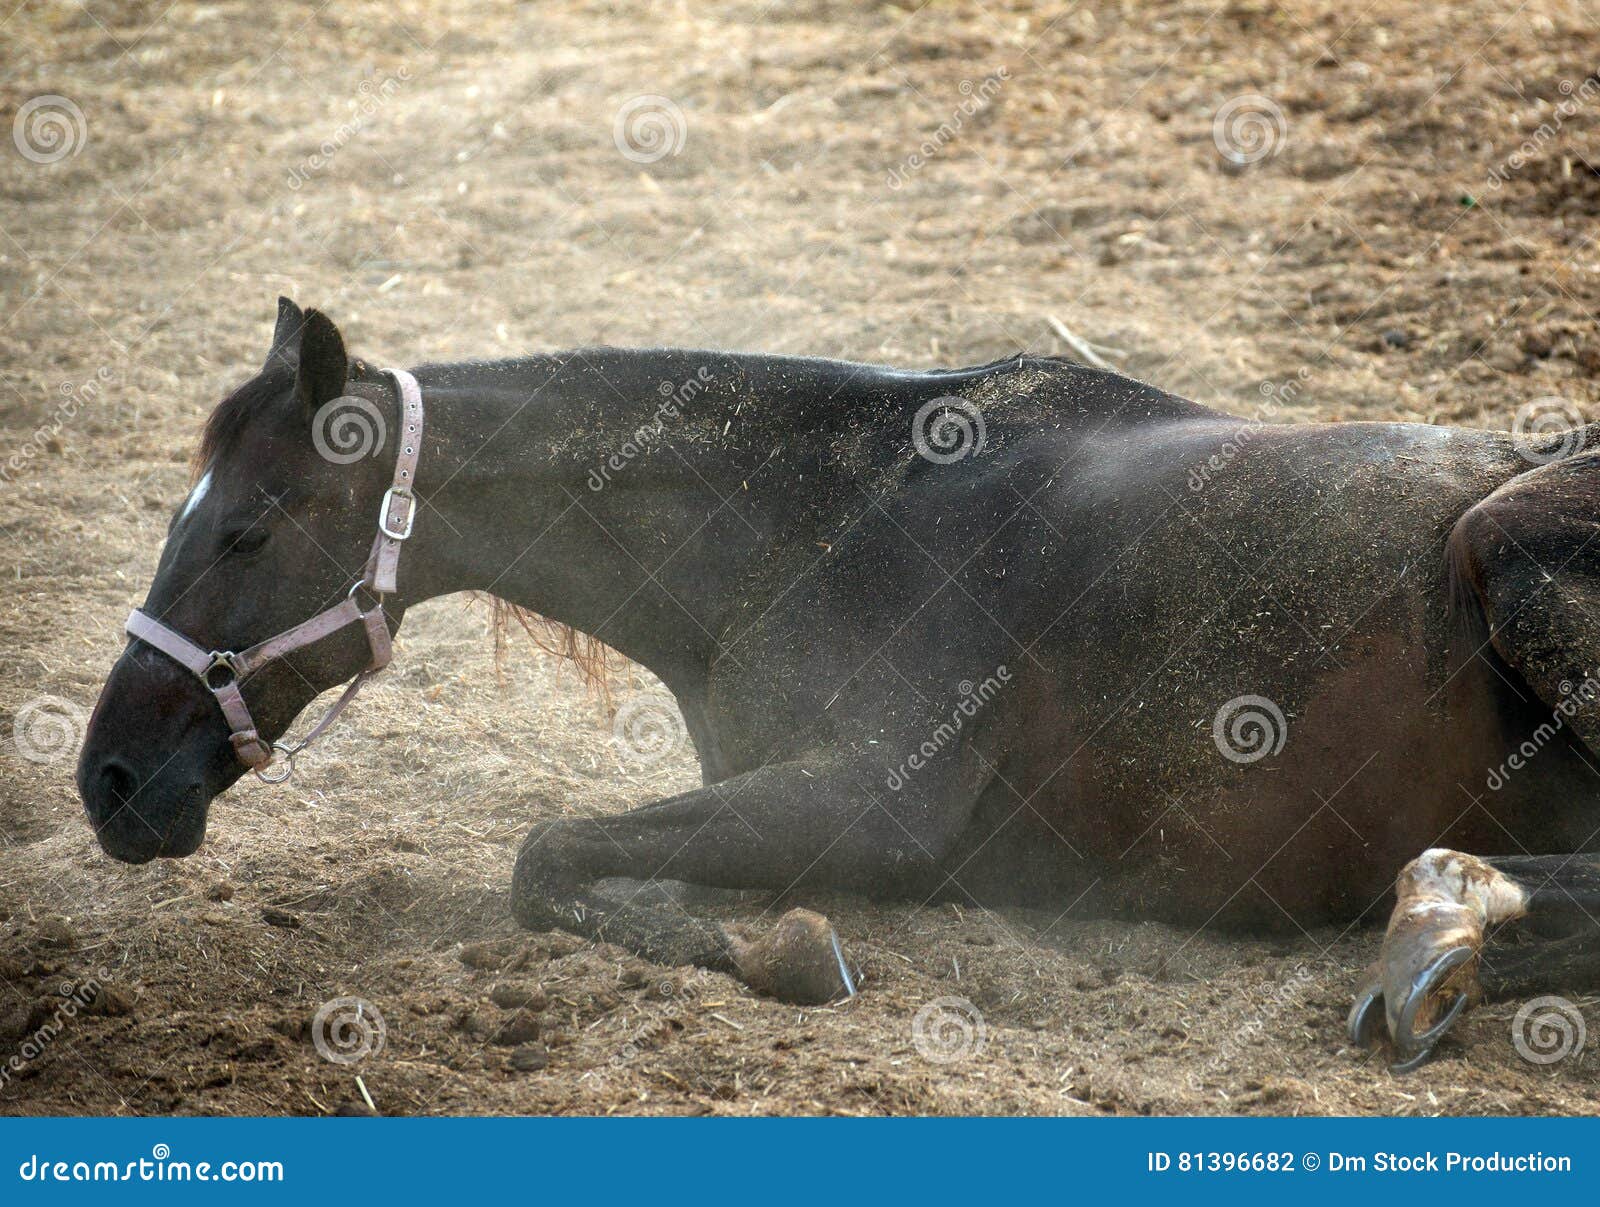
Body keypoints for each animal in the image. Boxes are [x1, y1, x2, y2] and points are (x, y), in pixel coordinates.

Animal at [75, 298, 1600, 1073]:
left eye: (246, 530)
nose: (110, 779)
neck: (828, 519)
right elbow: (574, 857)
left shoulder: (879, 800)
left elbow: (543, 850)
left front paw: (783, 949)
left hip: (1508, 559)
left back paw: (1438, 931)